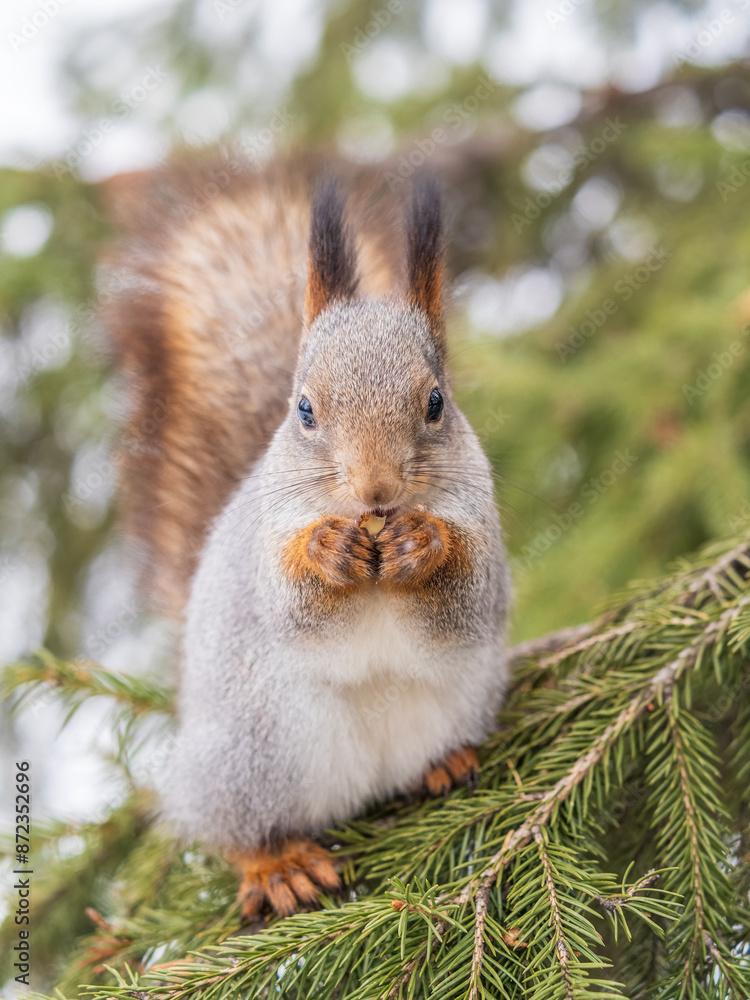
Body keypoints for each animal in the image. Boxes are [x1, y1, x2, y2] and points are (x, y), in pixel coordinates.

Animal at [104, 152, 511, 919]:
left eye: (436, 402)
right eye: (304, 410)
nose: (375, 492)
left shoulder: (486, 526)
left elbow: (467, 598)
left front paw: (424, 546)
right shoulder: (265, 546)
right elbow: (294, 607)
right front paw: (328, 553)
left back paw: (446, 763)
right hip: (253, 756)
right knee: (232, 830)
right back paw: (277, 866)